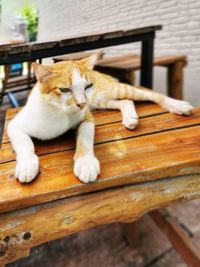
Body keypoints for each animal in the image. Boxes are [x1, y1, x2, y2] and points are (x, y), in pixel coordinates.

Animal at [7, 52, 193, 185]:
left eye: (88, 86)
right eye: (64, 90)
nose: (82, 103)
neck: (57, 112)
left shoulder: (87, 118)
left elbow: (84, 139)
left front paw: (86, 163)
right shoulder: (14, 126)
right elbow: (25, 144)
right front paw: (27, 164)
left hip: (112, 91)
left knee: (148, 93)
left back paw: (178, 105)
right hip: (100, 100)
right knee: (126, 101)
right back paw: (130, 117)